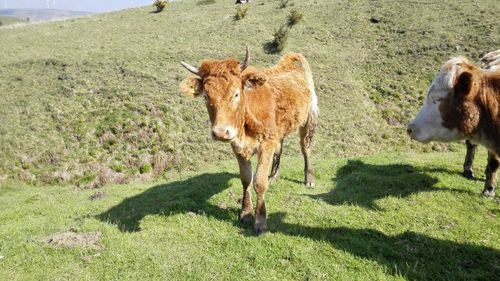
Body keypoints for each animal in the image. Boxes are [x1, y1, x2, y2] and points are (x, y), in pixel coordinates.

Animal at [181, 48, 320, 232]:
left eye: (236, 94)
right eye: (205, 96)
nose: (220, 133)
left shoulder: (266, 144)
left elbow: (259, 181)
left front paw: (260, 221)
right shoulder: (238, 147)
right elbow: (246, 179)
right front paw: (245, 213)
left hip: (307, 120)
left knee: (306, 148)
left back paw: (308, 179)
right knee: (280, 148)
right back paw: (274, 176)